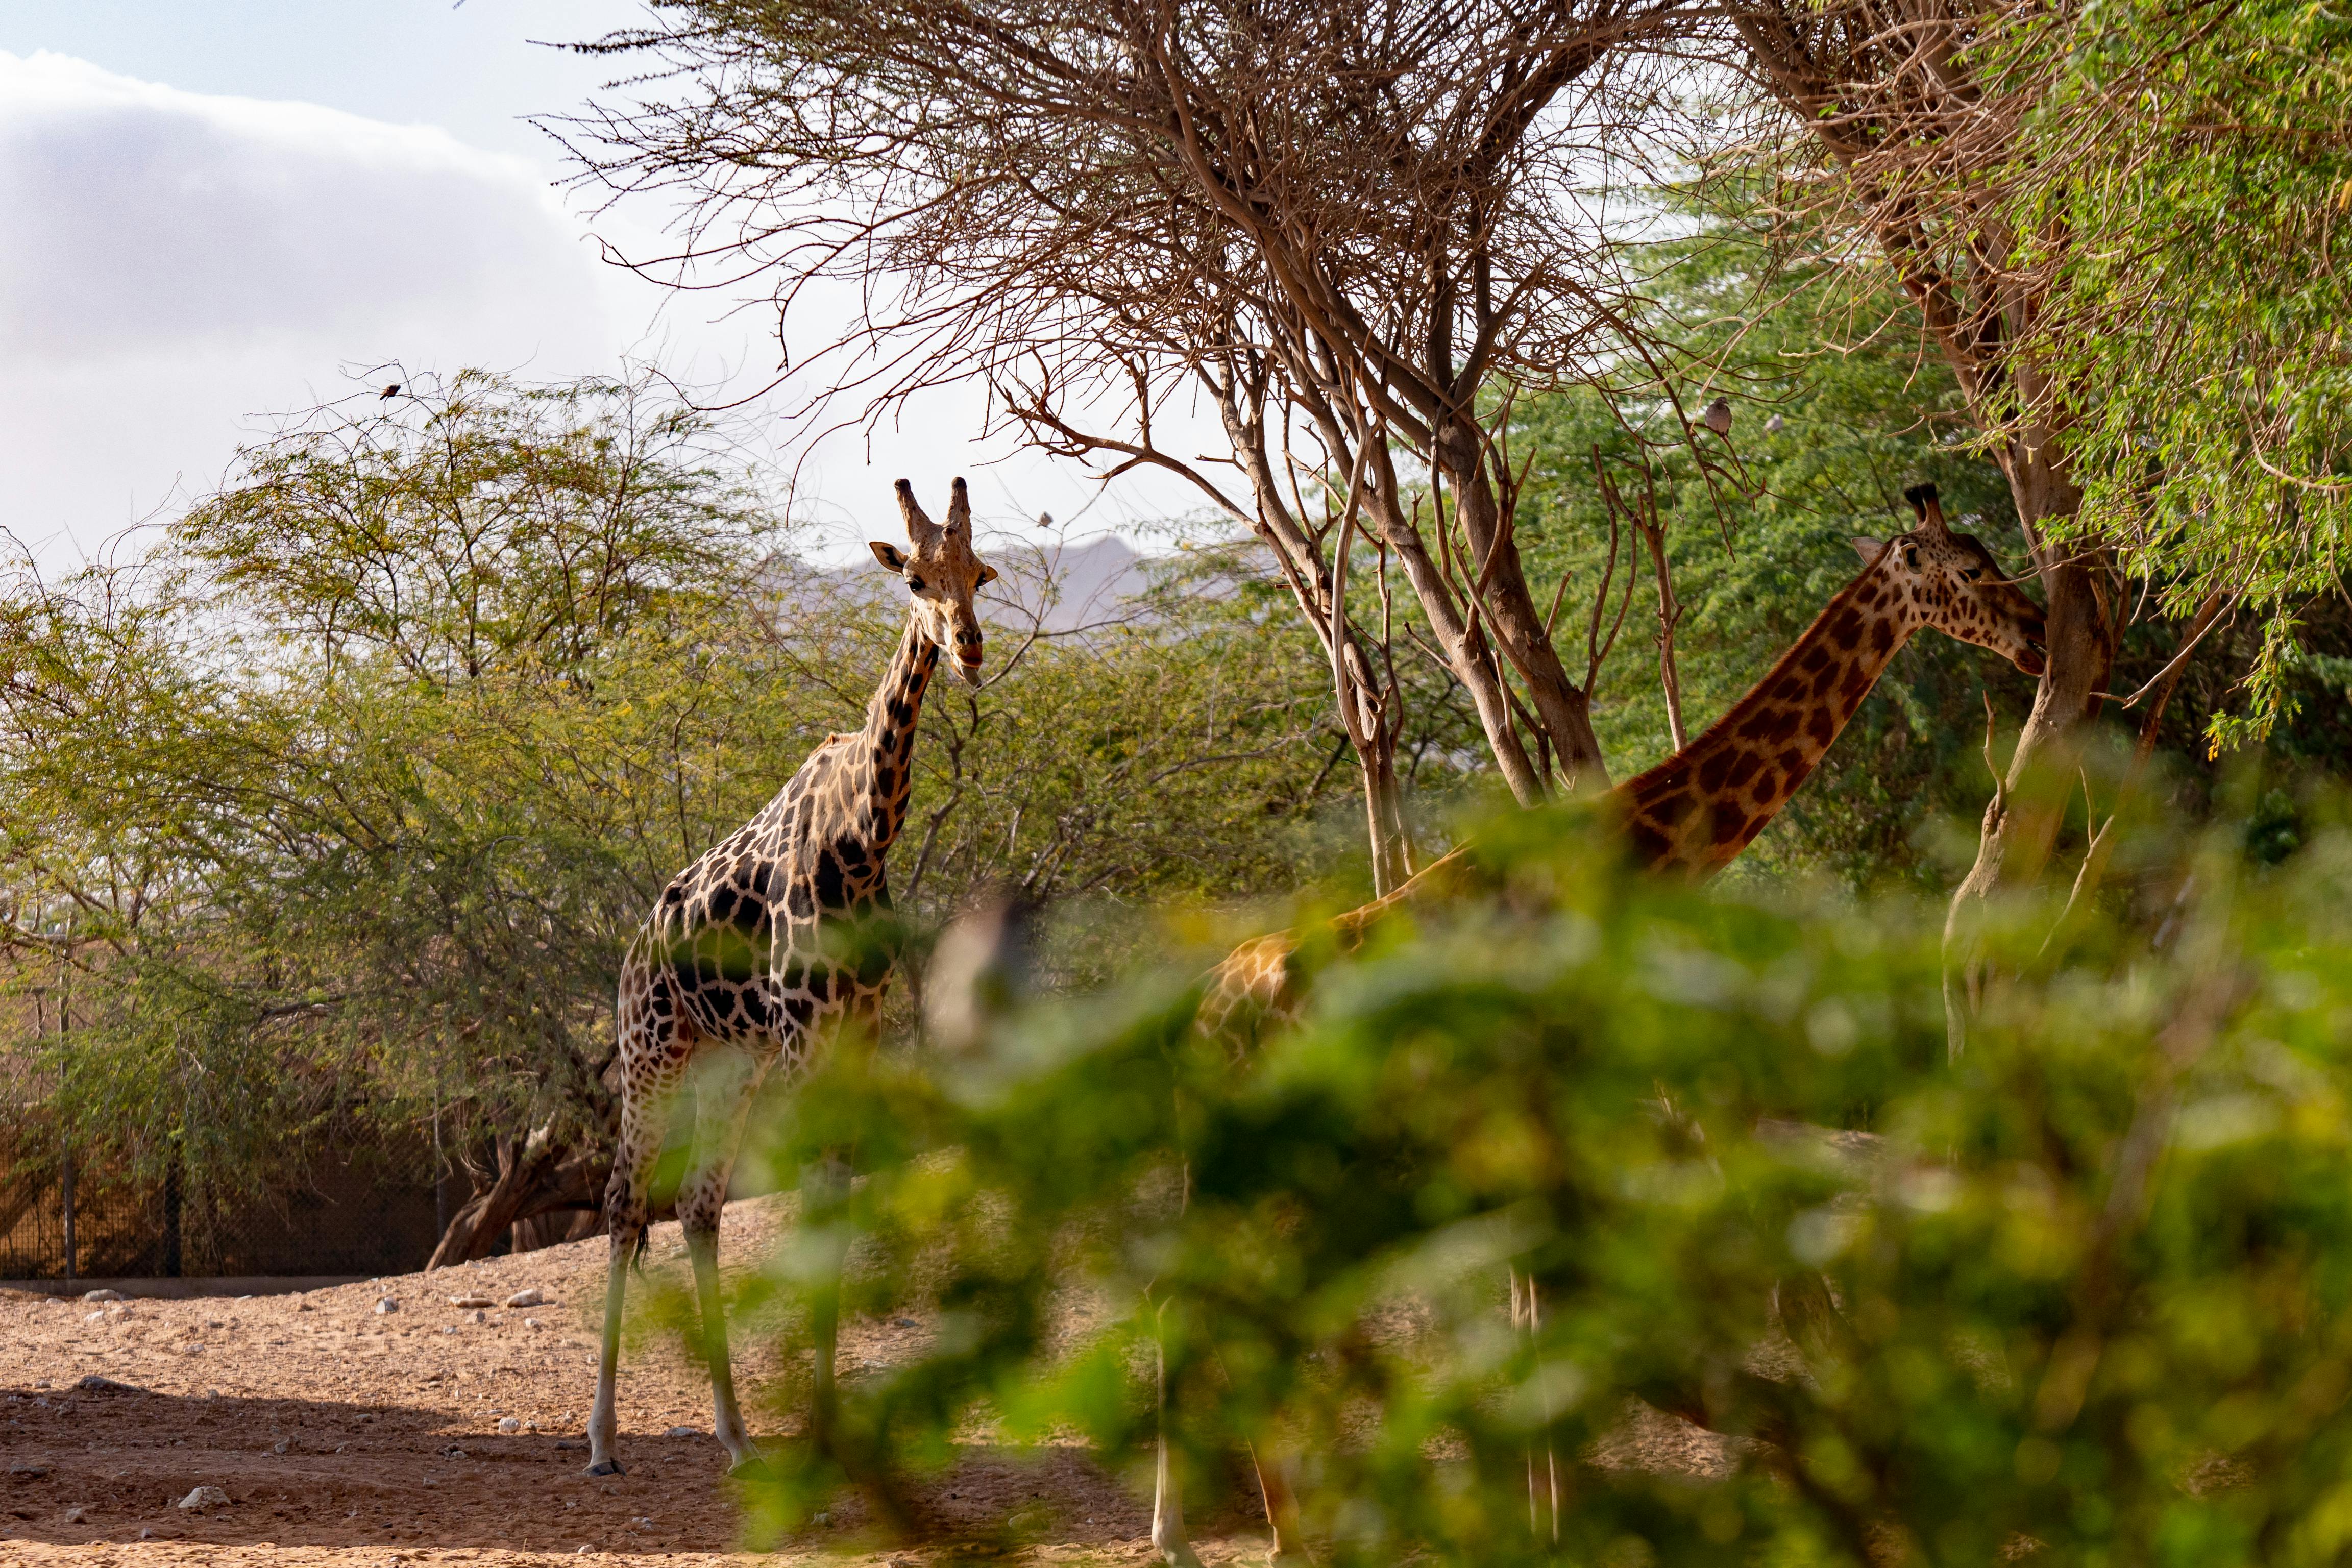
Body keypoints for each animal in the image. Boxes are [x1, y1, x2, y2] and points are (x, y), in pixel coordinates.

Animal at [588, 479, 1002, 1485]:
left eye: (979, 573)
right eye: (915, 580)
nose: (968, 646)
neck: (862, 838)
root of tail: (634, 948)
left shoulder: (859, 1033)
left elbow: (839, 1201)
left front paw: (827, 1427)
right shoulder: (808, 1038)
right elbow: (814, 1207)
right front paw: (819, 1435)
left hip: (731, 1063)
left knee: (699, 1205)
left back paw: (738, 1436)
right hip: (652, 1051)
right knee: (624, 1204)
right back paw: (603, 1440)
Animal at [1152, 484, 2041, 1561]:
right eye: (1971, 568)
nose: (2039, 634)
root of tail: (1205, 1017)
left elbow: (1533, 1311)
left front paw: (1545, 1525)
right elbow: (1547, 1314)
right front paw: (1558, 1528)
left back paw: (1257, 1530)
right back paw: (1232, 1535)